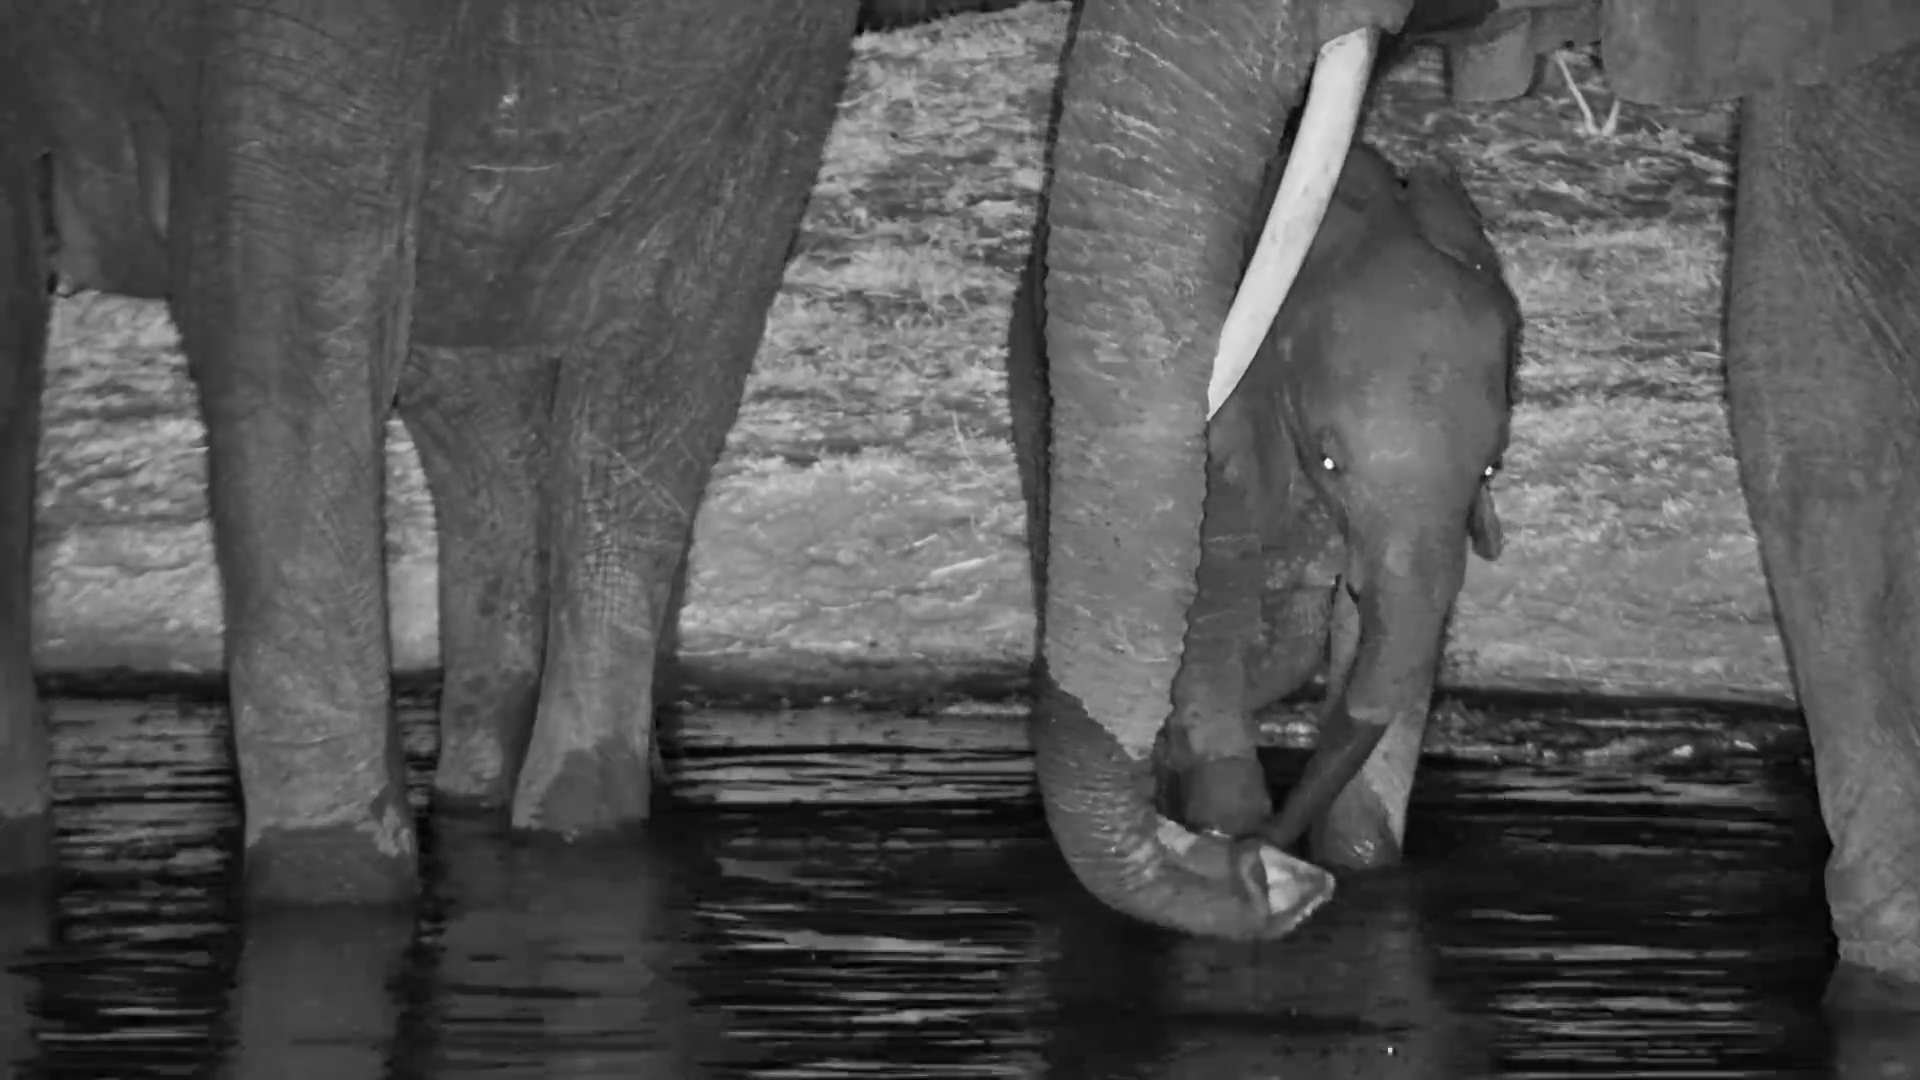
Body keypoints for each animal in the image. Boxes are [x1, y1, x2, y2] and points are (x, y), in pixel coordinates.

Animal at [1007, 133, 1517, 905]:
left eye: (1490, 471)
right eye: (1329, 459)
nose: (1271, 858)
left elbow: (1381, 637)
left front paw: (1361, 860)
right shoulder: (1223, 430)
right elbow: (1210, 600)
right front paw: (1228, 826)